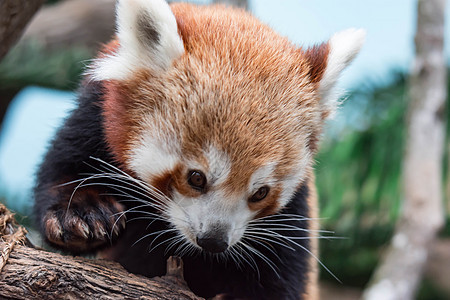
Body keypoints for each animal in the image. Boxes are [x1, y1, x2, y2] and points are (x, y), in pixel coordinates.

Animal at [35, 1, 366, 298]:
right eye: (196, 177)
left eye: (261, 192)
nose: (213, 240)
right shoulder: (97, 116)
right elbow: (63, 167)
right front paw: (81, 213)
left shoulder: (295, 212)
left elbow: (283, 277)